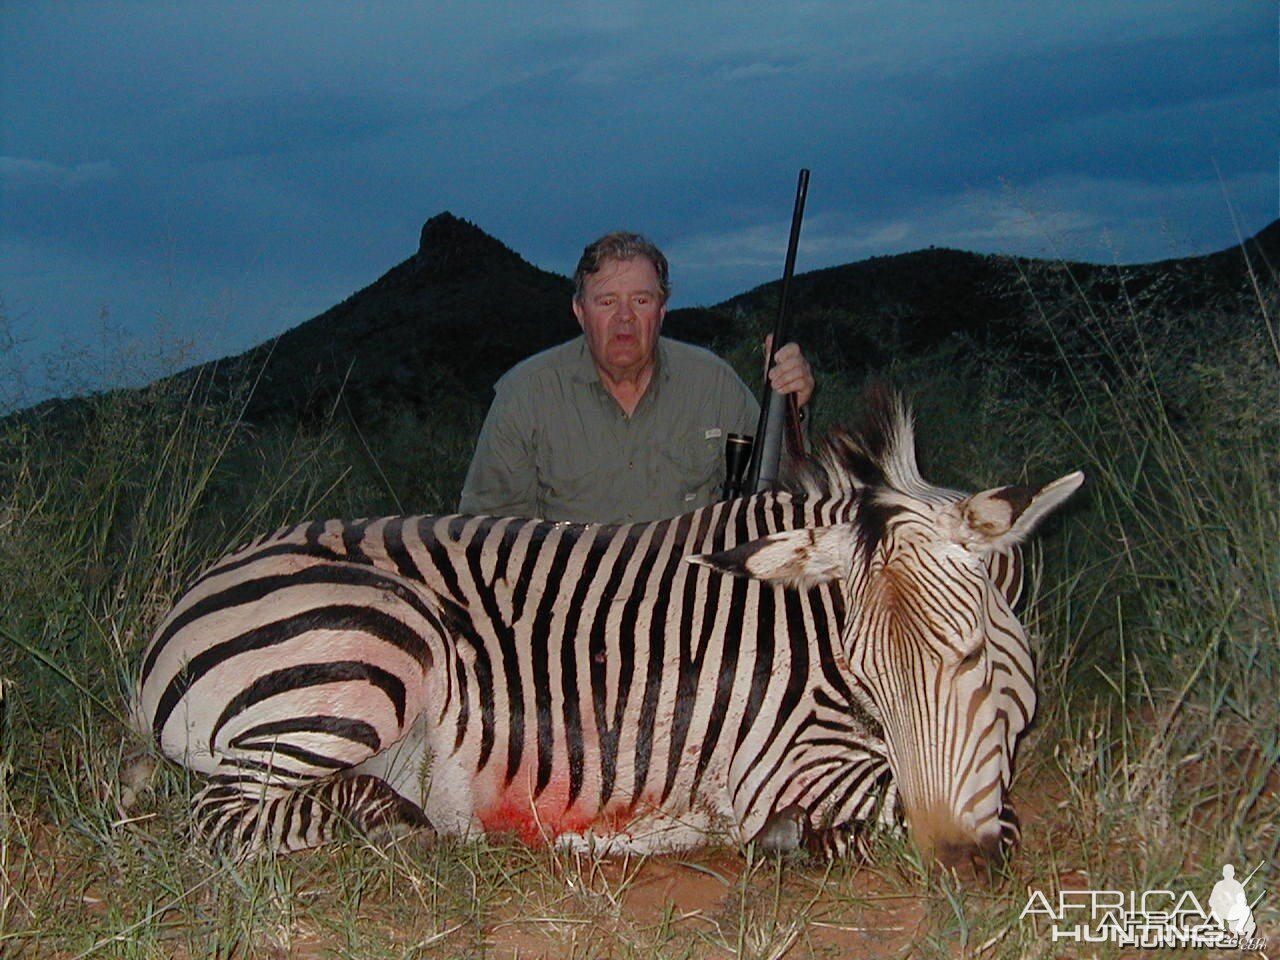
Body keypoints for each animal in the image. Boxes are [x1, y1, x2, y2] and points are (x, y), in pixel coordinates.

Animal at [135, 389, 1080, 865]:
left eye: (971, 659)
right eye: (864, 676)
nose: (957, 857)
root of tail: (185, 602)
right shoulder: (787, 761)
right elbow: (942, 811)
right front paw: (787, 837)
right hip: (375, 650)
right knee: (217, 818)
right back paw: (399, 820)